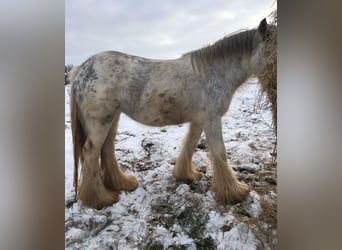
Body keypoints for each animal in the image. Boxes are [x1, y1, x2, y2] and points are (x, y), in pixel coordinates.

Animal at [69, 18, 270, 209]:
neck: (214, 72)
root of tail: (81, 70)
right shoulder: (212, 120)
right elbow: (220, 152)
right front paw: (235, 192)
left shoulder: (199, 120)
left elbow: (190, 144)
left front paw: (186, 174)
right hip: (100, 121)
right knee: (91, 152)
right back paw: (99, 199)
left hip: (113, 118)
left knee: (107, 148)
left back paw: (122, 183)